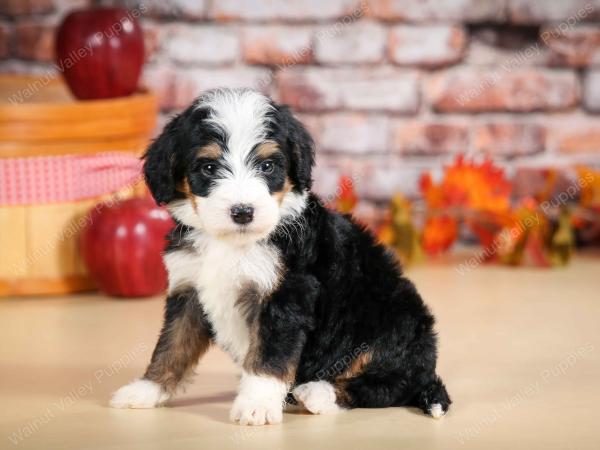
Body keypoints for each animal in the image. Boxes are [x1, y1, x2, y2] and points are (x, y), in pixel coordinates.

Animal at [111, 88, 450, 426]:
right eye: (208, 168)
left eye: (267, 167)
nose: (243, 212)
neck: (233, 242)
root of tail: (428, 367)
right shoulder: (189, 290)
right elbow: (172, 344)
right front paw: (146, 389)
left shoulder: (287, 293)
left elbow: (269, 355)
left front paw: (256, 405)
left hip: (391, 323)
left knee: (388, 385)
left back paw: (317, 393)